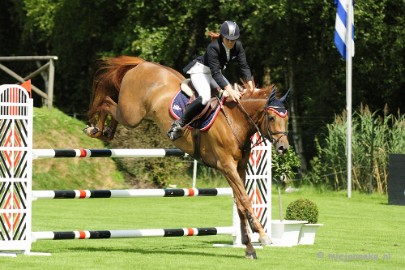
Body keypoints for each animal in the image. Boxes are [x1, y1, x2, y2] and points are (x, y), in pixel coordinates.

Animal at [83, 55, 288, 260]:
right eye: (271, 118)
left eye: (286, 119)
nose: (283, 147)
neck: (235, 119)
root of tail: (142, 64)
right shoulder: (227, 166)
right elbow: (245, 200)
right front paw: (262, 236)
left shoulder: (240, 168)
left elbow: (240, 203)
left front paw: (249, 248)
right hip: (132, 113)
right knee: (107, 102)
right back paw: (95, 129)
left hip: (130, 113)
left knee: (111, 108)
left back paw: (105, 132)